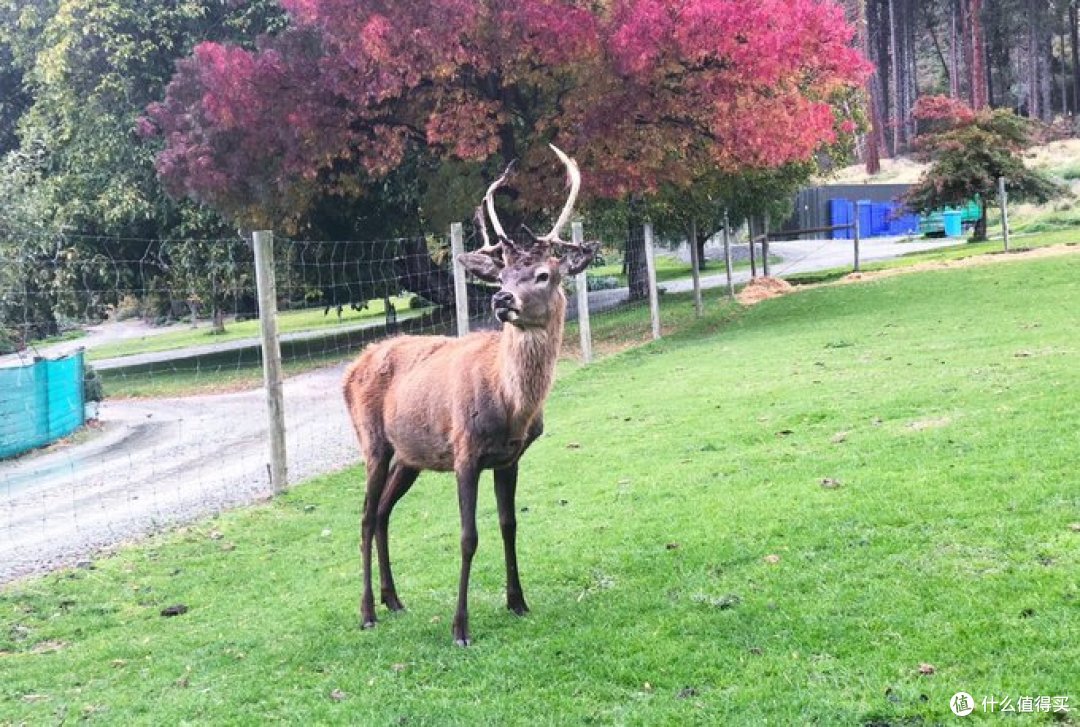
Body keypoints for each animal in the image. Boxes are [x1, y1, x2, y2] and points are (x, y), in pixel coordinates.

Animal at [342, 145, 598, 646]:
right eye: (502, 273)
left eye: (543, 274)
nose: (502, 300)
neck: (512, 405)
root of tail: (351, 368)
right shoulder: (465, 450)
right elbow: (468, 536)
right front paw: (460, 627)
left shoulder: (509, 457)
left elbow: (509, 524)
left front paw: (518, 601)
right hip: (373, 442)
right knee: (363, 517)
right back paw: (366, 612)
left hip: (411, 455)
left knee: (382, 513)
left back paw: (394, 599)